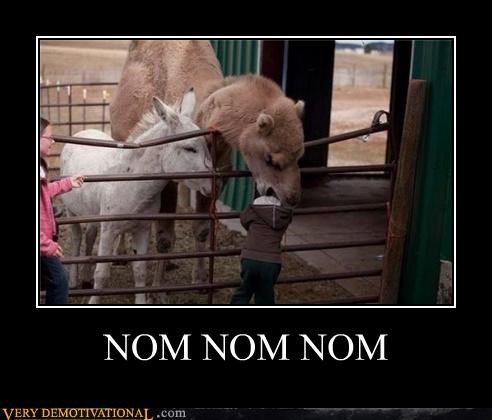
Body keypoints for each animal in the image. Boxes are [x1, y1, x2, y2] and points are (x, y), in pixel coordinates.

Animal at [60, 90, 212, 304]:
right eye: (190, 148)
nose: (212, 185)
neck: (133, 182)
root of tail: (83, 131)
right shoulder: (109, 230)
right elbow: (102, 273)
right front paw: (93, 300)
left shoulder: (142, 228)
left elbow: (140, 271)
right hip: (72, 211)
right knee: (76, 238)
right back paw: (74, 280)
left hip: (92, 212)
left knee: (89, 236)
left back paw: (85, 277)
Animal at [110, 40, 305, 284]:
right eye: (270, 158)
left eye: (300, 155)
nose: (292, 197)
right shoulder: (167, 179)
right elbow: (165, 237)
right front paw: (157, 285)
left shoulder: (215, 176)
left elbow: (202, 229)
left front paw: (201, 279)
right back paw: (120, 256)